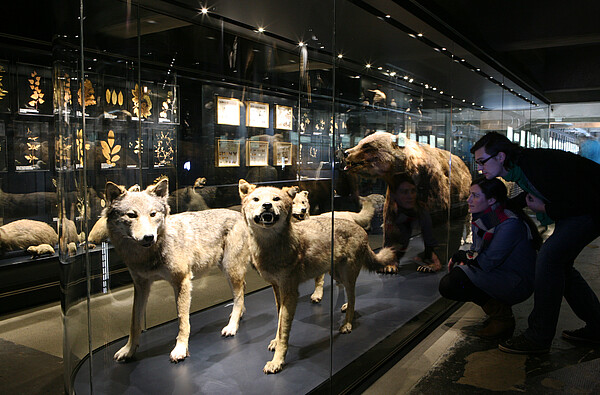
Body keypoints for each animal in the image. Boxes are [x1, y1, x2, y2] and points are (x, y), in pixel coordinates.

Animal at [105, 178, 248, 364]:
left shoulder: (182, 281)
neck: (148, 255)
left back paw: (232, 326)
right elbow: (134, 321)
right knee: (242, 289)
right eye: (131, 215)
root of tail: (239, 214)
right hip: (227, 270)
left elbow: (182, 319)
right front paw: (128, 350)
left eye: (153, 214)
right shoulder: (141, 285)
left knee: (239, 296)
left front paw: (180, 348)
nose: (149, 237)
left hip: (230, 269)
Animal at [237, 179, 396, 374]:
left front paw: (277, 361)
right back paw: (345, 308)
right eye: (256, 199)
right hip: (335, 273)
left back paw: (347, 323)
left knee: (353, 295)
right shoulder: (276, 288)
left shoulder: (290, 293)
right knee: (349, 294)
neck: (271, 247)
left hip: (347, 274)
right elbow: (279, 321)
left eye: (276, 199)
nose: (267, 205)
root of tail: (360, 229)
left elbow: (284, 328)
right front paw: (275, 342)